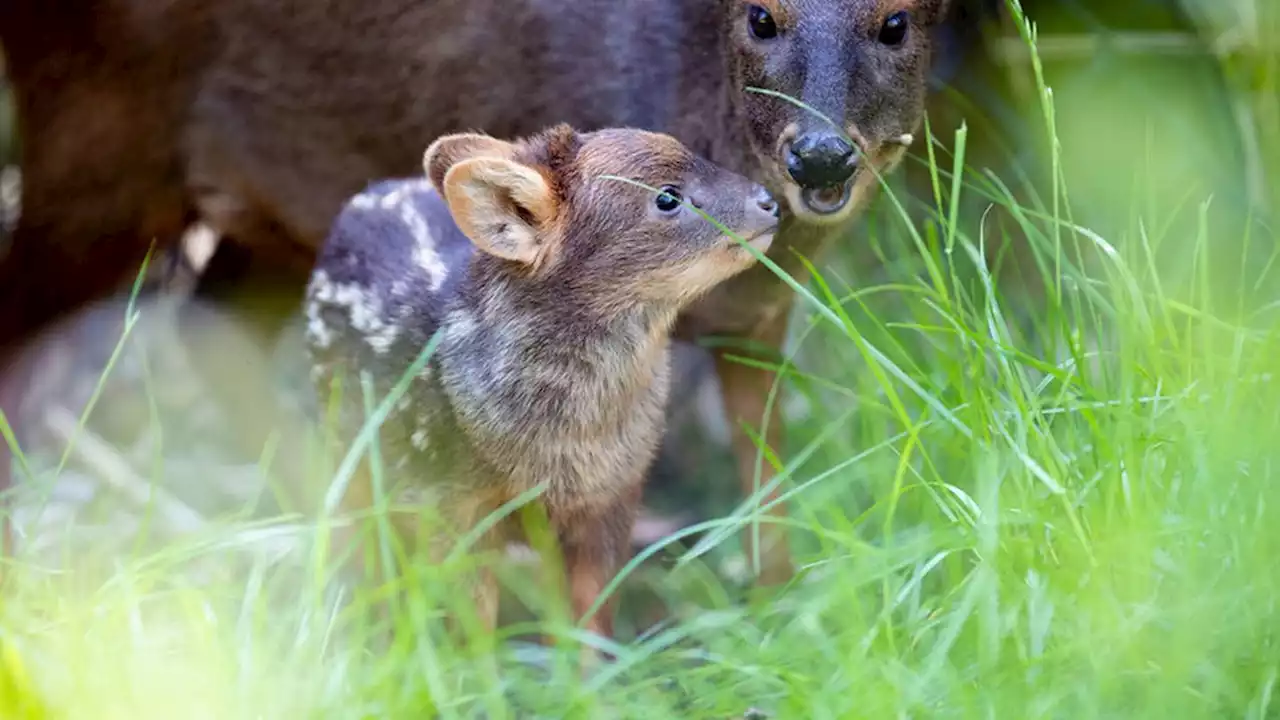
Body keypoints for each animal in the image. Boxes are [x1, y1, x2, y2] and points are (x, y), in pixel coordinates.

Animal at [0, 0, 957, 584]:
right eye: (762, 16)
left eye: (895, 21)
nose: (821, 158)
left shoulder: (759, 314)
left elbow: (769, 487)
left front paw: (775, 608)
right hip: (100, 141)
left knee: (212, 320)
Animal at [309, 126, 778, 648]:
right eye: (667, 198)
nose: (770, 201)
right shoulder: (452, 502)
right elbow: (469, 625)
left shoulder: (614, 495)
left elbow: (590, 616)